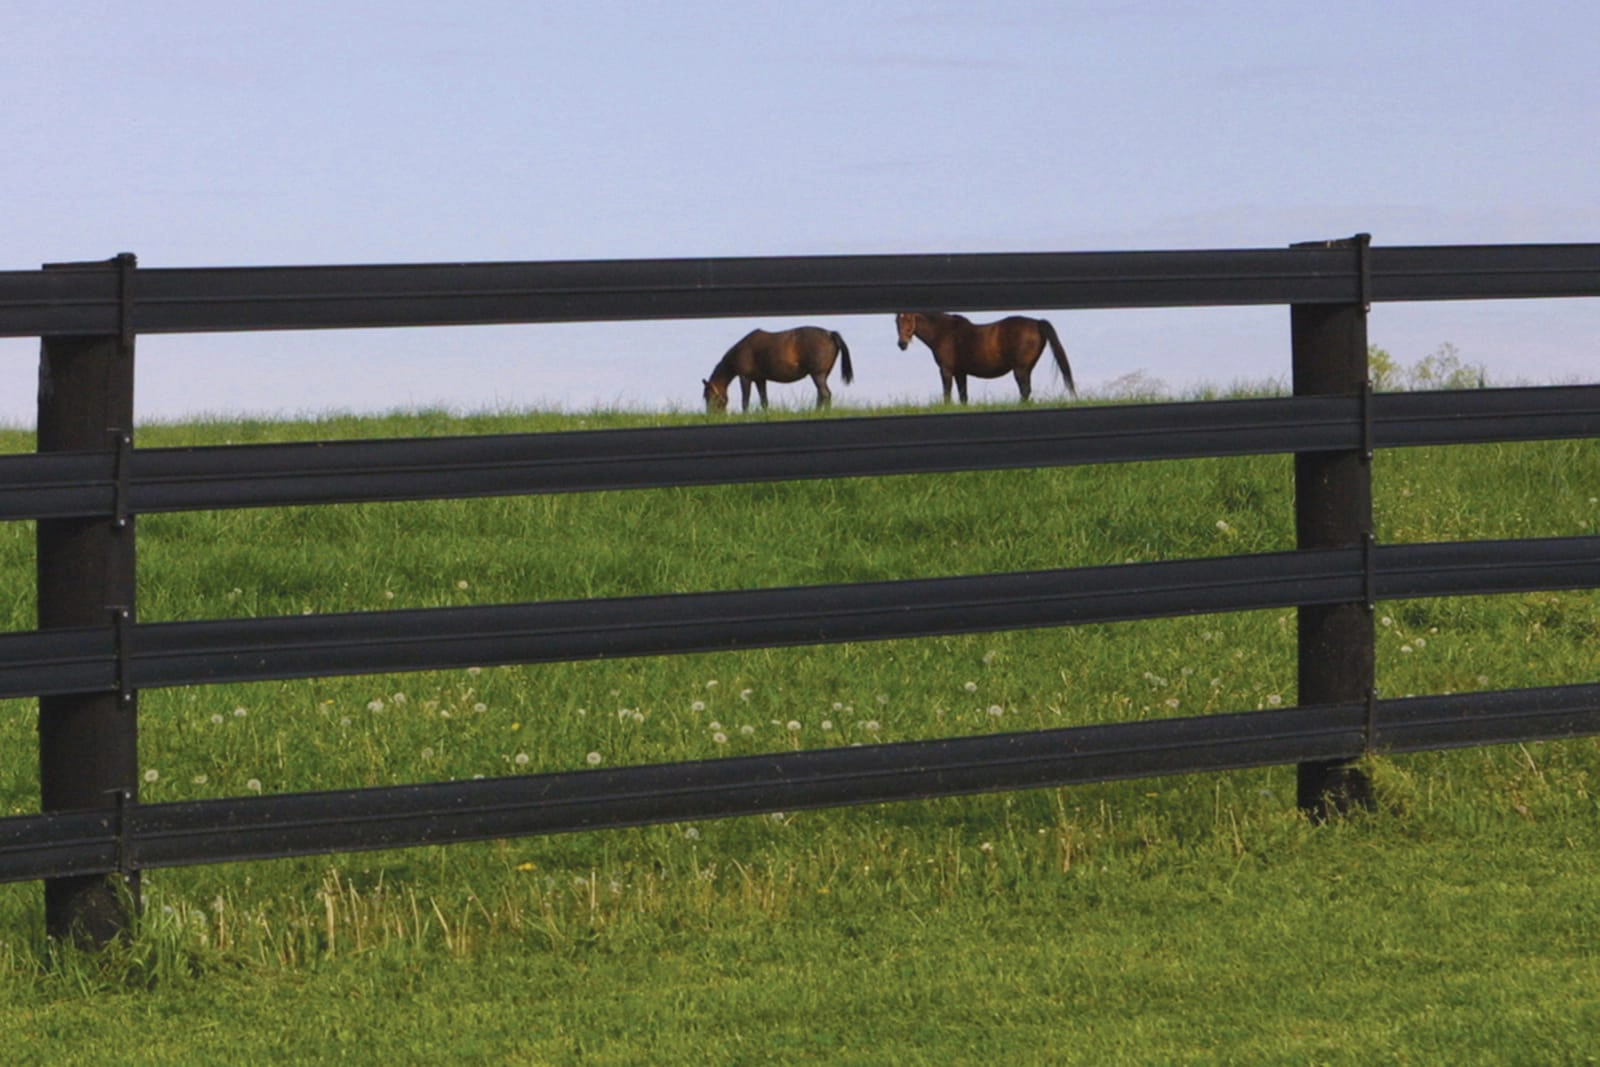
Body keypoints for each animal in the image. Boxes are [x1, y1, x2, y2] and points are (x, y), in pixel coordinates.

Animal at [700, 326, 851, 412]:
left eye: (708, 396)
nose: (712, 416)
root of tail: (830, 334)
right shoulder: (760, 379)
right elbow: (764, 401)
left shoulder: (745, 378)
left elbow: (745, 401)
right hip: (822, 375)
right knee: (821, 395)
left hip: (817, 374)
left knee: (825, 394)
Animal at [896, 315, 1081, 406]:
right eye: (897, 320)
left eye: (909, 319)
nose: (901, 344)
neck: (944, 332)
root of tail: (1036, 323)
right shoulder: (960, 373)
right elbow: (963, 396)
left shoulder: (946, 370)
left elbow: (947, 393)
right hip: (1026, 368)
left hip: (1020, 369)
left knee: (1025, 390)